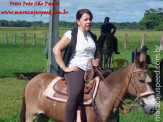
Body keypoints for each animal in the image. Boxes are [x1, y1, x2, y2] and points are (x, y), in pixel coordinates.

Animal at [19, 51, 157, 121]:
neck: (105, 97)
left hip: (44, 116)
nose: (153, 108)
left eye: (151, 80)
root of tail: (32, 80)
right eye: (141, 80)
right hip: (31, 115)